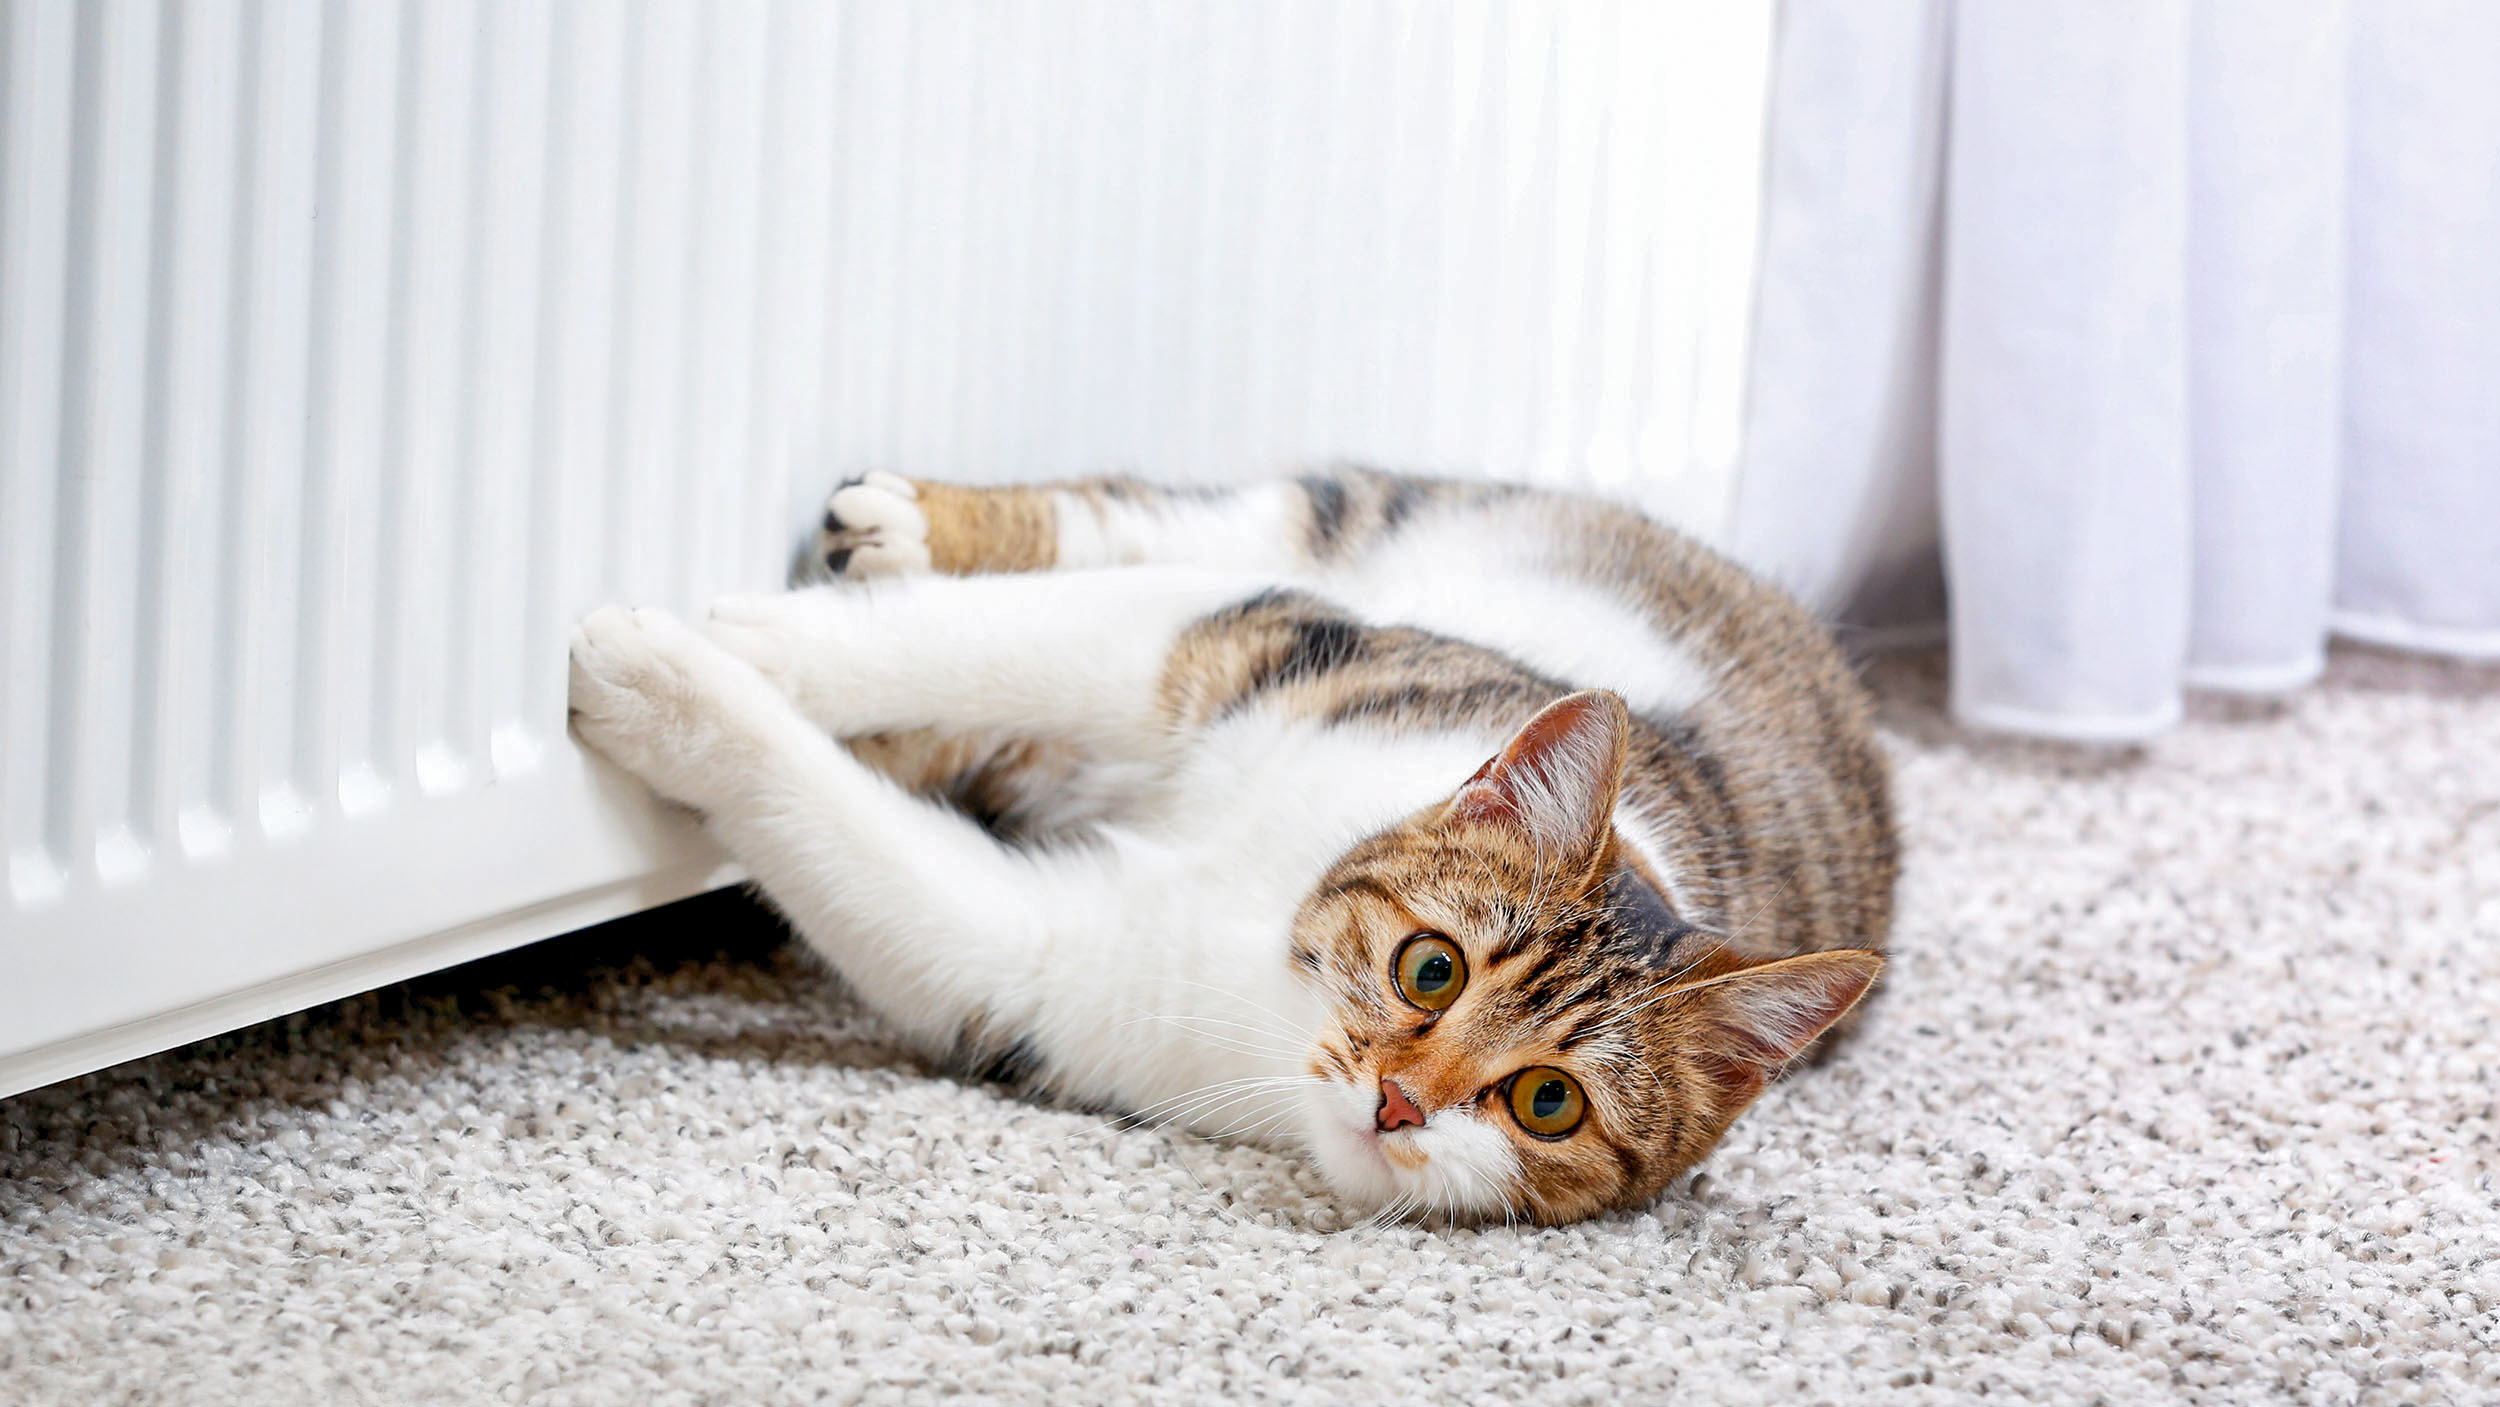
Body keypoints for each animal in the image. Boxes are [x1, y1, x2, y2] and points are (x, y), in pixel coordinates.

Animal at [567, 467, 1890, 1229]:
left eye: (1548, 1104)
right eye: (1430, 968)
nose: (1401, 1103)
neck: (1271, 916)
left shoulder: (1054, 973)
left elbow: (857, 846)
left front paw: (667, 685)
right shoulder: (1260, 644)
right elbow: (995, 636)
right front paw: (742, 646)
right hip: (1333, 529)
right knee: (1140, 526)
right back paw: (899, 529)